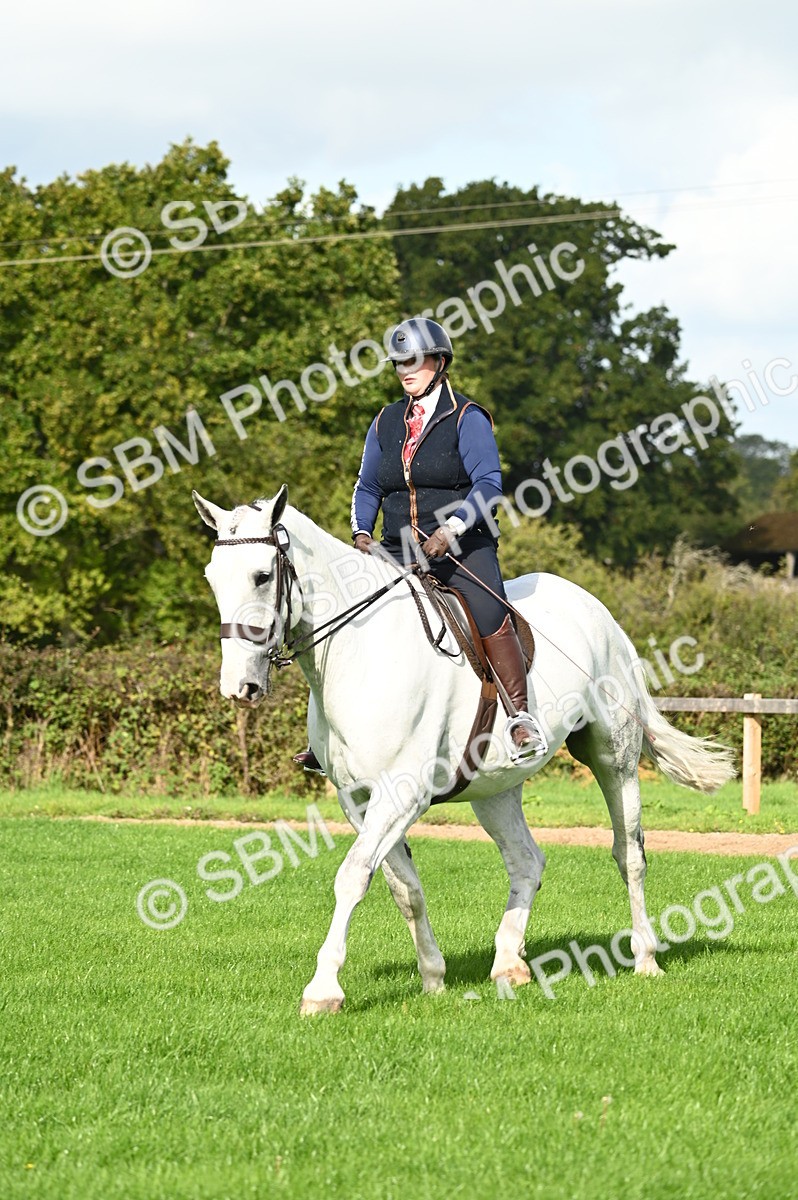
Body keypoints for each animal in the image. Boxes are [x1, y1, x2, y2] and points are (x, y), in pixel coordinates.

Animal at [194, 485, 736, 1015]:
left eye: (263, 576)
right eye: (213, 579)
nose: (239, 686)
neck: (358, 654)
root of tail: (598, 610)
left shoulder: (400, 793)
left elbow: (352, 877)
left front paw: (323, 990)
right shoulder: (359, 800)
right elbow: (403, 887)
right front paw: (433, 977)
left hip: (614, 758)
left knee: (630, 854)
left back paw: (645, 958)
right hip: (495, 787)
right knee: (526, 861)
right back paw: (509, 964)